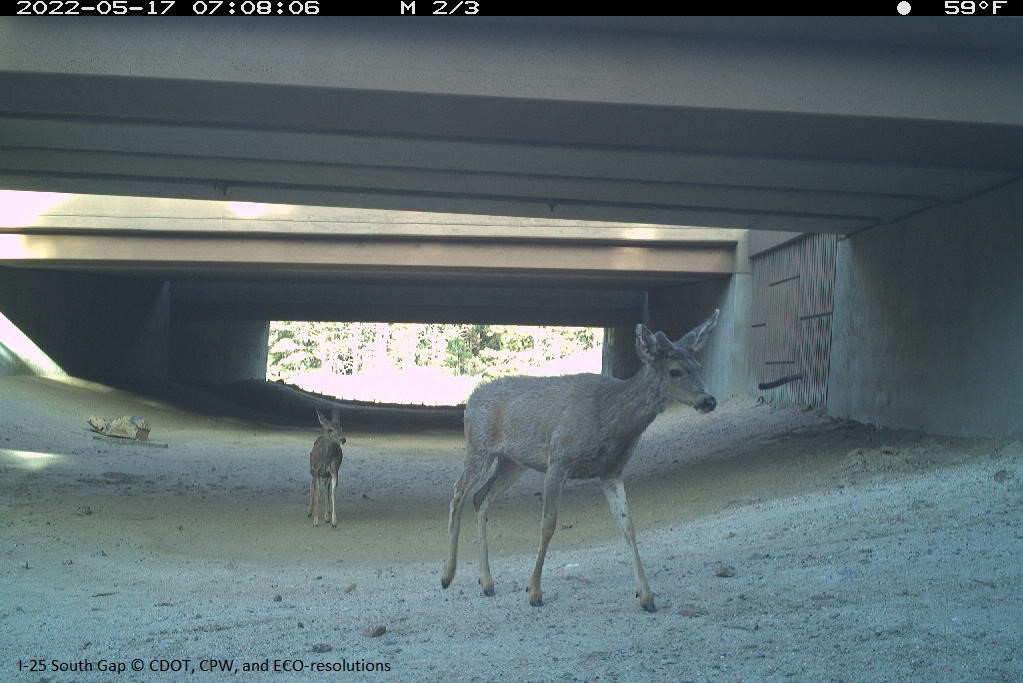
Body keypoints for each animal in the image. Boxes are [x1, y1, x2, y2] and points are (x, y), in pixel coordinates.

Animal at [439, 308, 720, 613]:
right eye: (675, 371)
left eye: (699, 366)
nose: (709, 400)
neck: (609, 418)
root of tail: (471, 399)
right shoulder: (559, 459)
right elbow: (548, 525)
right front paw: (534, 591)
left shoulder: (612, 471)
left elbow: (628, 525)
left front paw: (646, 596)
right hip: (478, 446)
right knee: (457, 492)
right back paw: (447, 576)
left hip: (513, 462)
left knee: (481, 497)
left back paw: (487, 583)